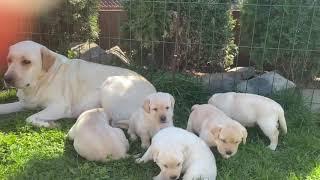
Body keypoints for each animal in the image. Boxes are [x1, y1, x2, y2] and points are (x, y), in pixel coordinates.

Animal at [0, 40, 155, 127]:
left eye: (26, 61)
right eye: (9, 60)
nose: (7, 78)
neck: (41, 81)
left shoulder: (59, 107)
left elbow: (29, 118)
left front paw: (48, 124)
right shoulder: (25, 103)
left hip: (109, 86)